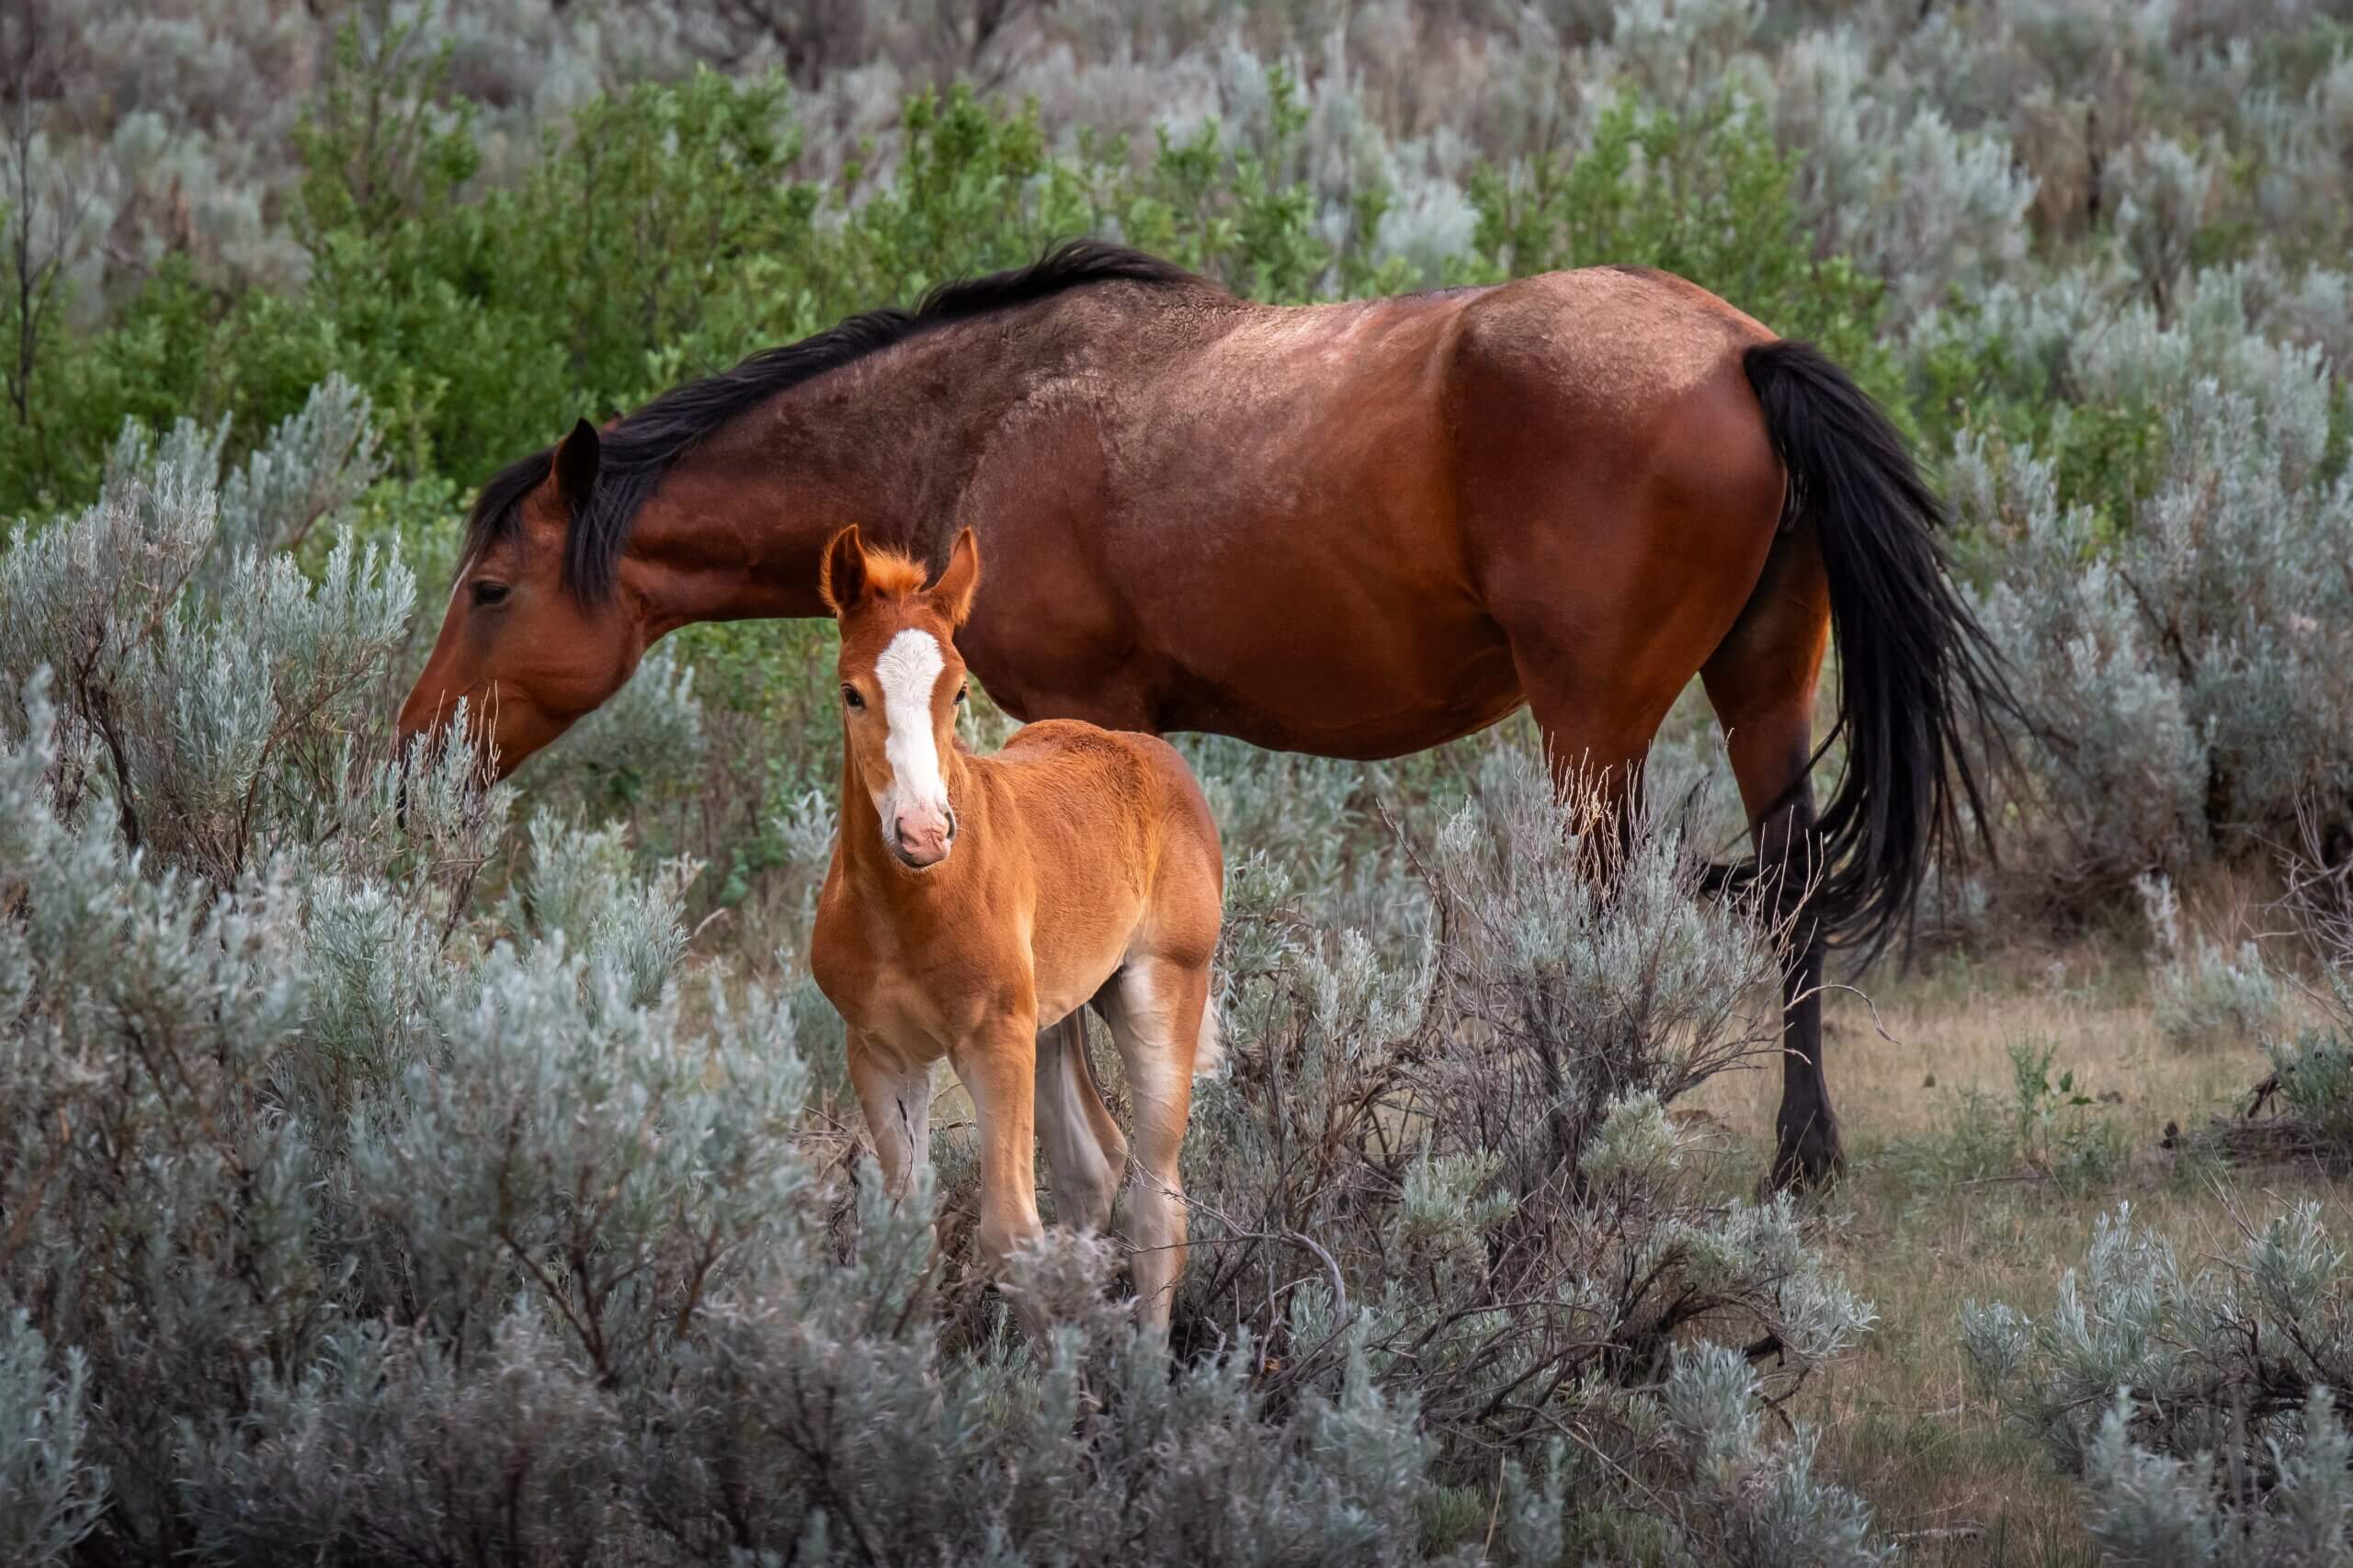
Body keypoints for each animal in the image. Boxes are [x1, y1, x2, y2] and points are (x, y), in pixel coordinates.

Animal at [395, 240, 2015, 1188]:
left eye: (490, 584)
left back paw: (1561, 1143)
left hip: (1593, 722)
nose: (414, 749)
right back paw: (1801, 1158)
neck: (983, 412)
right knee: (1793, 895)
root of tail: (1740, 351)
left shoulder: (1079, 713)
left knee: (1601, 924)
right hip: (1761, 689)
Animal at [806, 523, 1223, 1332]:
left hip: (1160, 990)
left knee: (1157, 1200)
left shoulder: (993, 1042)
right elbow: (908, 1237)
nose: (924, 832)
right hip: (1052, 1019)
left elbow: (1010, 1235)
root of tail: (1152, 752)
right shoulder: (880, 1053)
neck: (905, 909)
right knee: (1094, 1164)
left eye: (959, 690)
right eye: (852, 693)